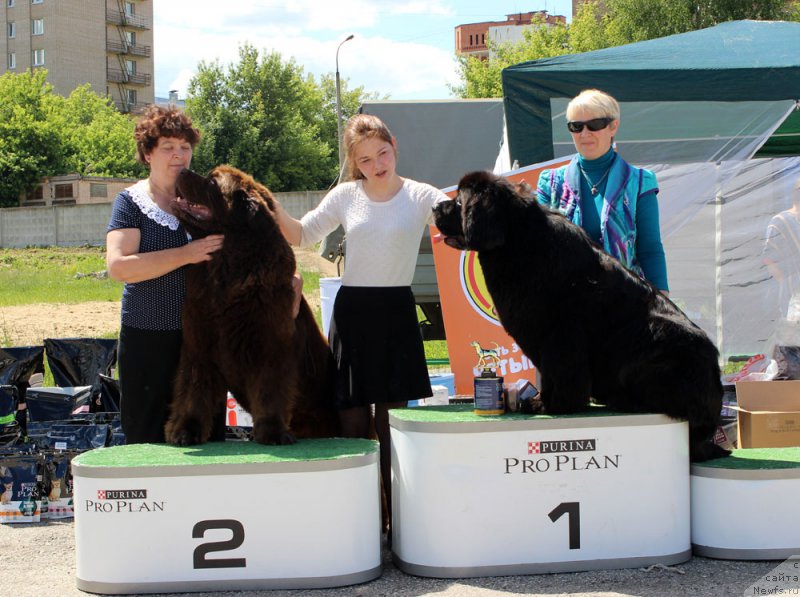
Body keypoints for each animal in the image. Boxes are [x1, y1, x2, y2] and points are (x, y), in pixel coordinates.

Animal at [166, 165, 340, 444]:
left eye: (212, 182)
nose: (181, 170)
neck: (227, 267)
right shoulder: (198, 346)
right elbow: (194, 391)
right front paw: (185, 431)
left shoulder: (269, 346)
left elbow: (269, 390)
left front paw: (272, 432)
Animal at [434, 170, 728, 464]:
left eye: (459, 202)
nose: (436, 206)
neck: (515, 240)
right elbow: (548, 372)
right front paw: (544, 400)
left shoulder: (561, 332)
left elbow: (559, 370)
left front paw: (551, 404)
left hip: (653, 346)